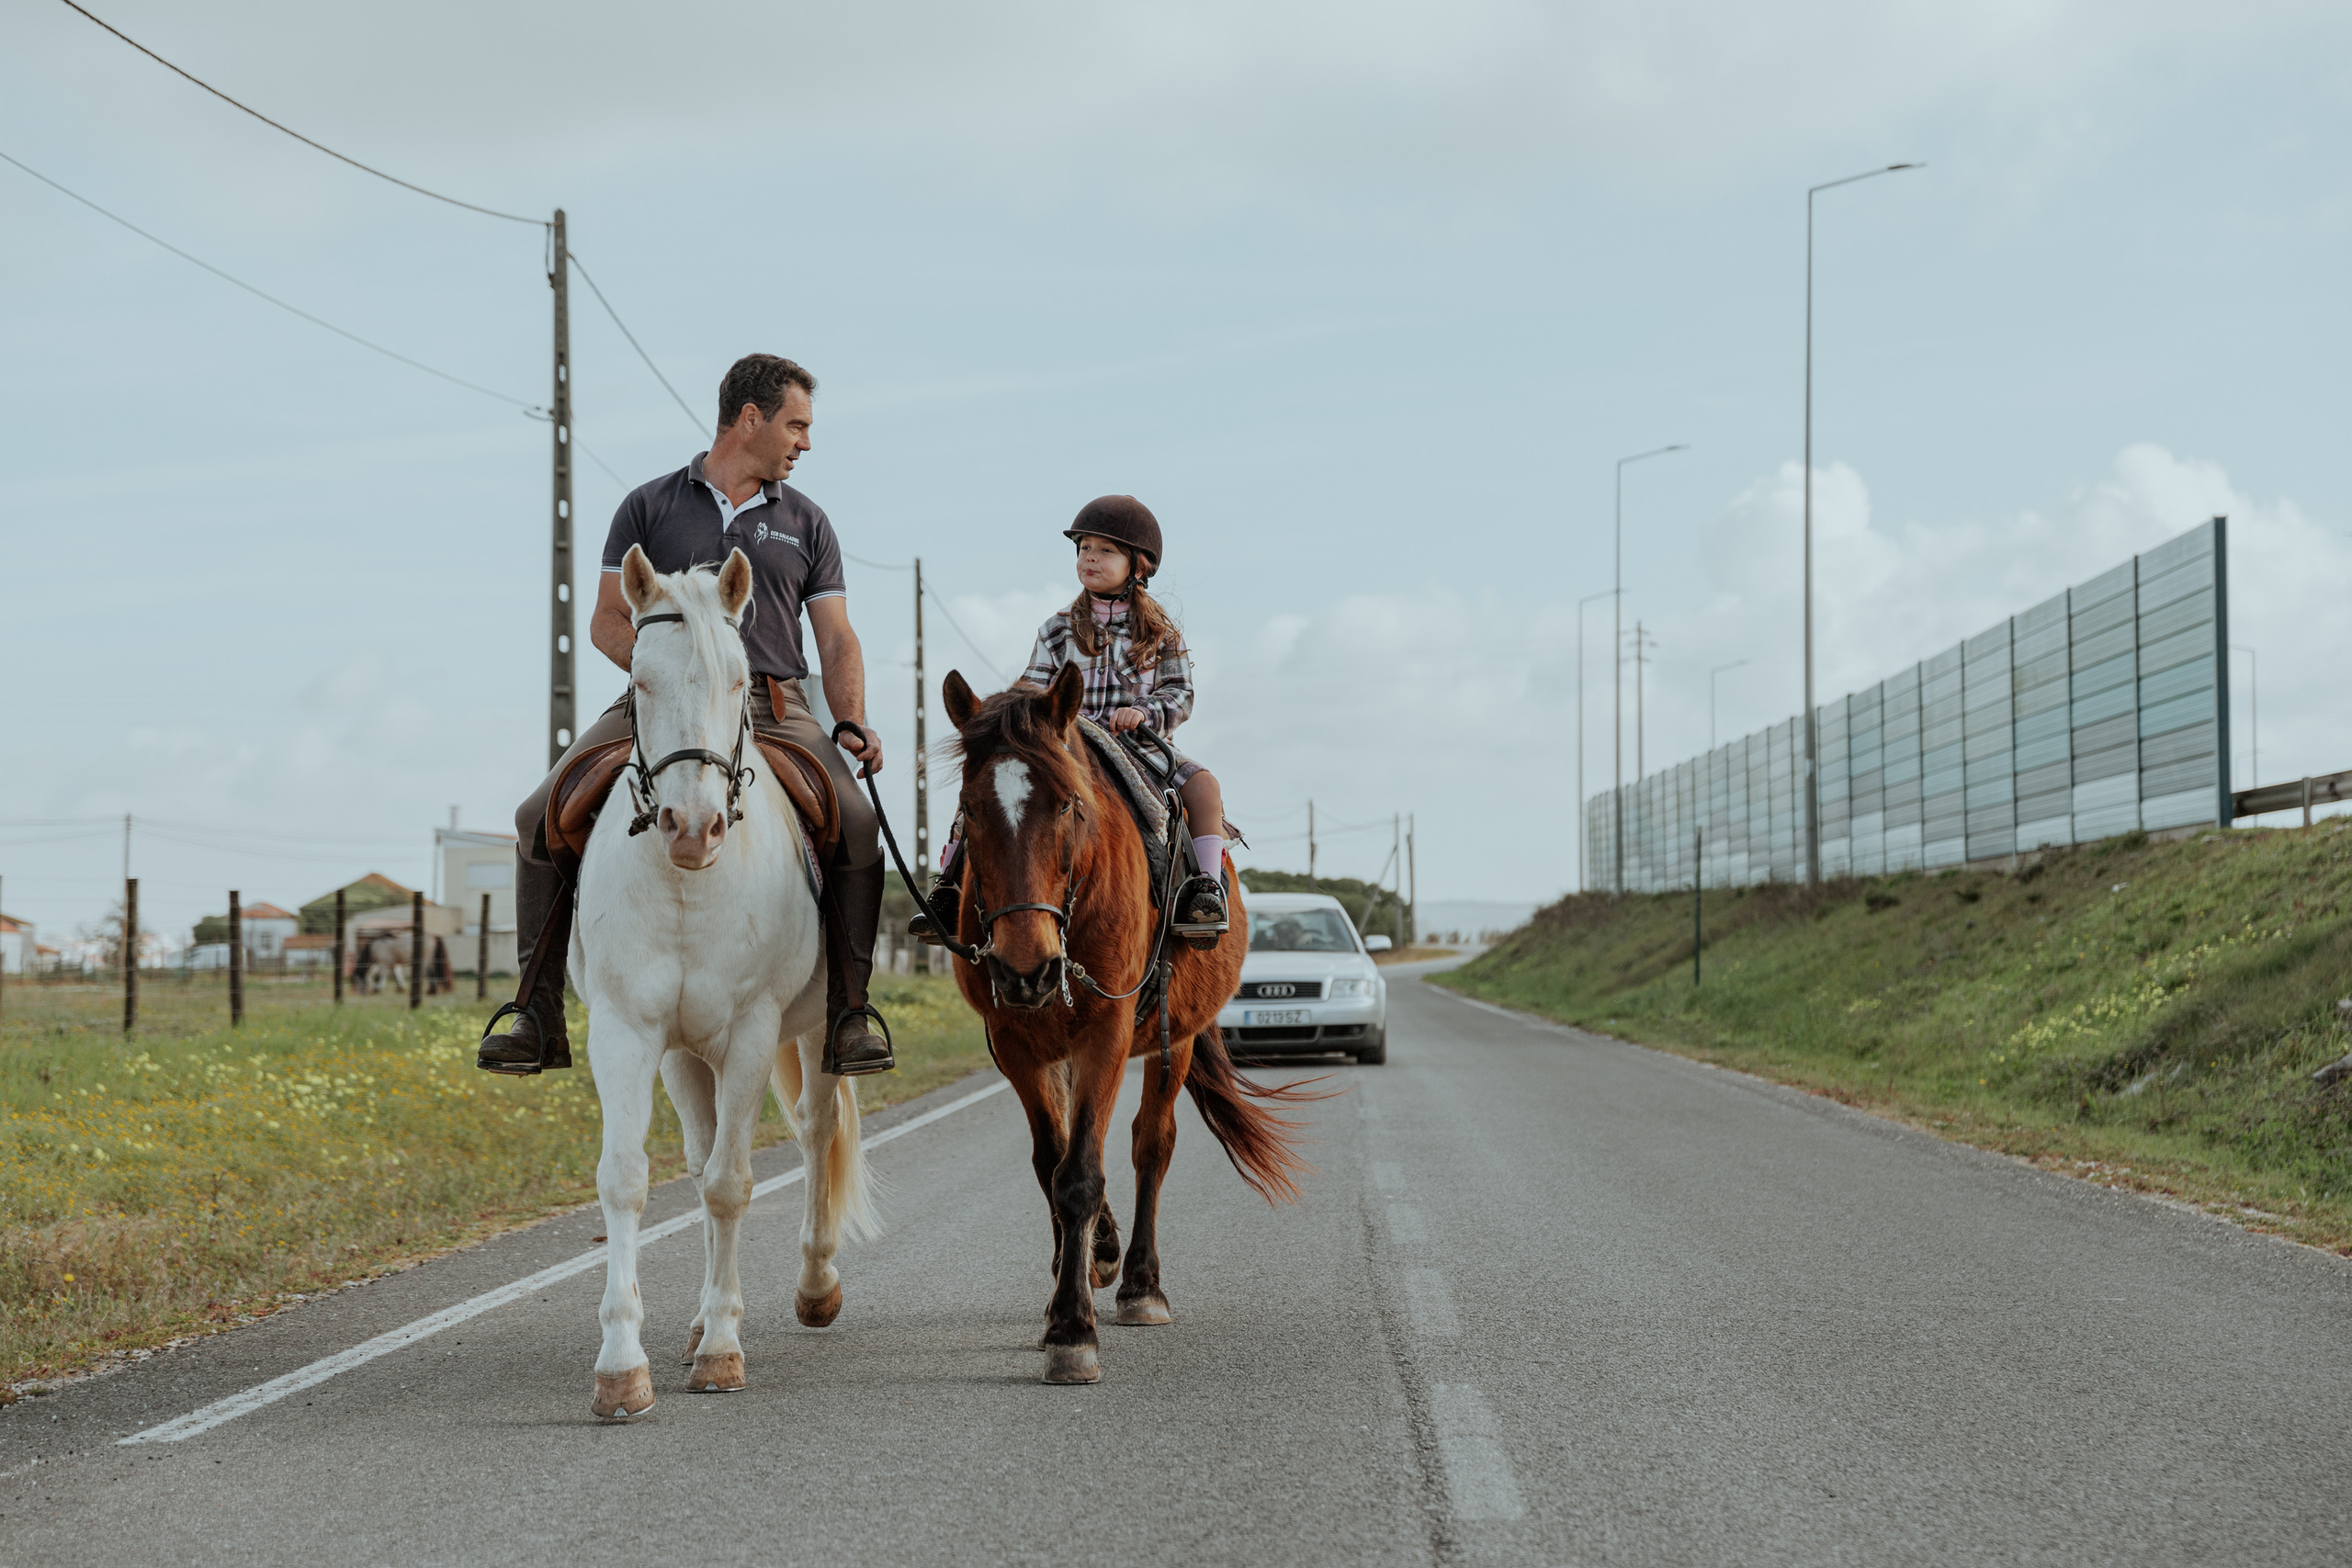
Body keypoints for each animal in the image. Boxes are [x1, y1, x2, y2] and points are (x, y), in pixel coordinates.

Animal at [573, 543, 873, 1420]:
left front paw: (724, 1350)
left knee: (812, 1130)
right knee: (700, 1155)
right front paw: (622, 1366)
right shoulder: (629, 1032)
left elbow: (734, 1185)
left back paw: (813, 1285)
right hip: (684, 1054)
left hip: (813, 1031)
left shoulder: (750, 1033)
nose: (694, 827)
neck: (687, 886)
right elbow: (629, 1181)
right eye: (641, 682)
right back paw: (694, 1324)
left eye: (741, 681)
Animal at [939, 663, 1320, 1384]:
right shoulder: (1016, 1043)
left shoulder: (1107, 1035)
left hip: (1179, 1037)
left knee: (1153, 1143)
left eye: (1068, 804)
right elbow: (1053, 1163)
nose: (1026, 967)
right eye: (969, 809)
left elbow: (1081, 1174)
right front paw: (1078, 1278)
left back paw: (1142, 1284)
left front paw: (1073, 1329)